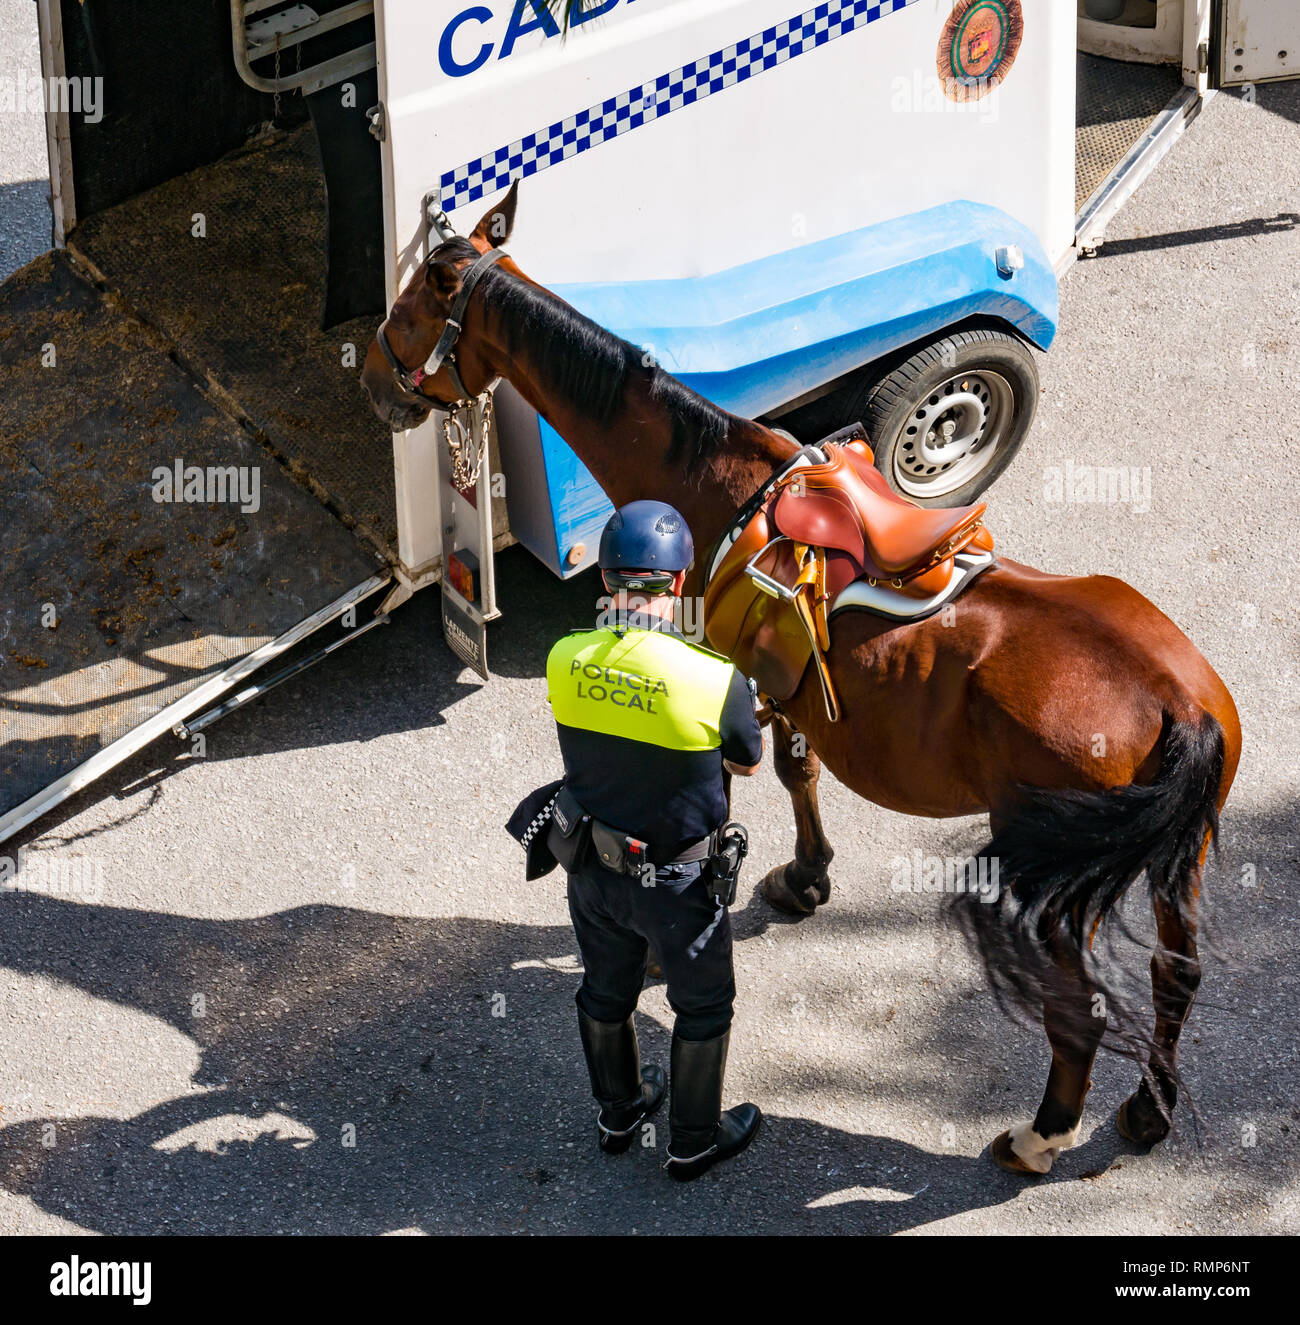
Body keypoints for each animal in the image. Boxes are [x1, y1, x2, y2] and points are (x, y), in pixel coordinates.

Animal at [363, 184, 1240, 1171]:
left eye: (409, 308)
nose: (373, 383)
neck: (707, 480)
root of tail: (1179, 703)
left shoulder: (723, 684)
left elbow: (743, 790)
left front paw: (739, 903)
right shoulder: (783, 685)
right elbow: (799, 770)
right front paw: (809, 876)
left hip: (1057, 891)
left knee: (1079, 1015)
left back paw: (1043, 1133)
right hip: (1177, 861)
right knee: (1176, 972)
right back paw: (1148, 1110)